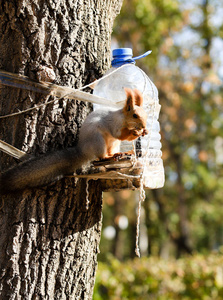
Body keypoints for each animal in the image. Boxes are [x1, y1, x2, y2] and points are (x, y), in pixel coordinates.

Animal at [0, 87, 148, 195]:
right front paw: (135, 132)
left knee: (110, 151)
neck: (124, 119)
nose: (143, 126)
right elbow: (120, 134)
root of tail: (83, 150)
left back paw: (122, 153)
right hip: (98, 140)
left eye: (145, 114)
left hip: (113, 143)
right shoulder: (115, 125)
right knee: (101, 156)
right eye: (135, 115)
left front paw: (144, 132)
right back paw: (110, 156)